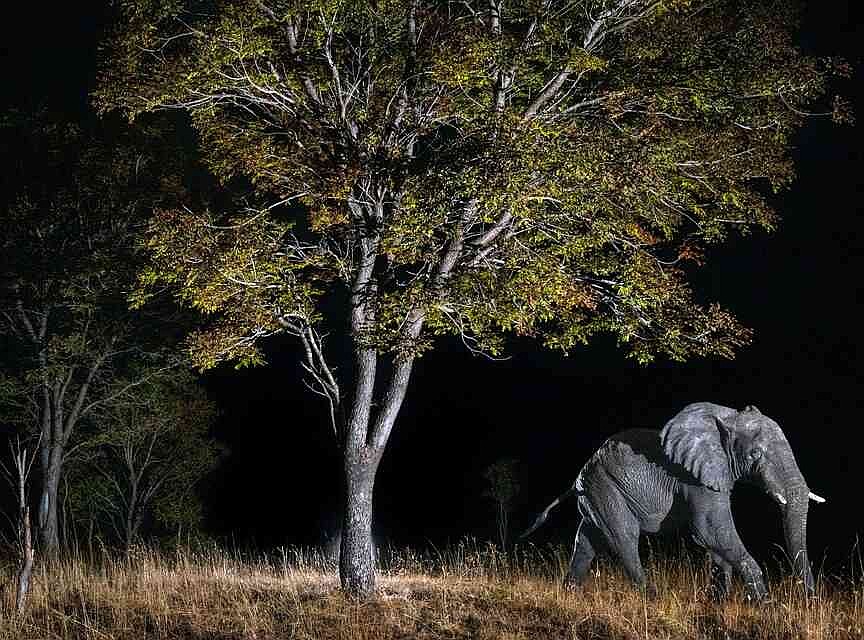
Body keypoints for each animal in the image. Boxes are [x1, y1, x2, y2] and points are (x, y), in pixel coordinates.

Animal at [522, 402, 826, 599]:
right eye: (755, 456)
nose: (810, 600)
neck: (727, 418)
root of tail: (577, 480)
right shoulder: (694, 478)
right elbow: (710, 529)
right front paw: (763, 603)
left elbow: (713, 539)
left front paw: (717, 603)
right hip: (606, 486)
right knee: (624, 538)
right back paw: (652, 597)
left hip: (596, 492)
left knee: (586, 540)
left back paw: (568, 593)